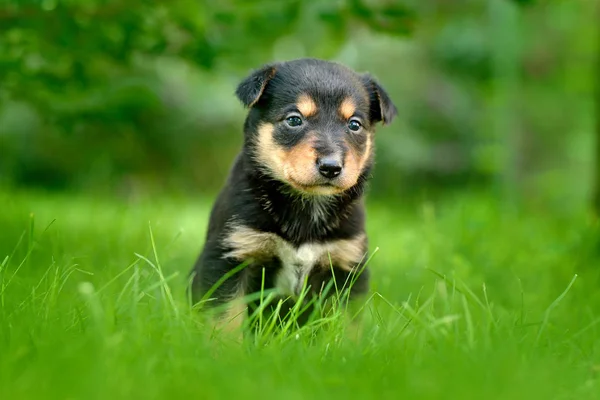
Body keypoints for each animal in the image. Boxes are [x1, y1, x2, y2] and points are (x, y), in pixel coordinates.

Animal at [190, 57, 396, 336]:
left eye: (354, 124)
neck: (306, 206)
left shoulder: (346, 267)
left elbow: (345, 326)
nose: (331, 167)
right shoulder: (231, 255)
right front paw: (224, 347)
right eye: (294, 120)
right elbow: (226, 320)